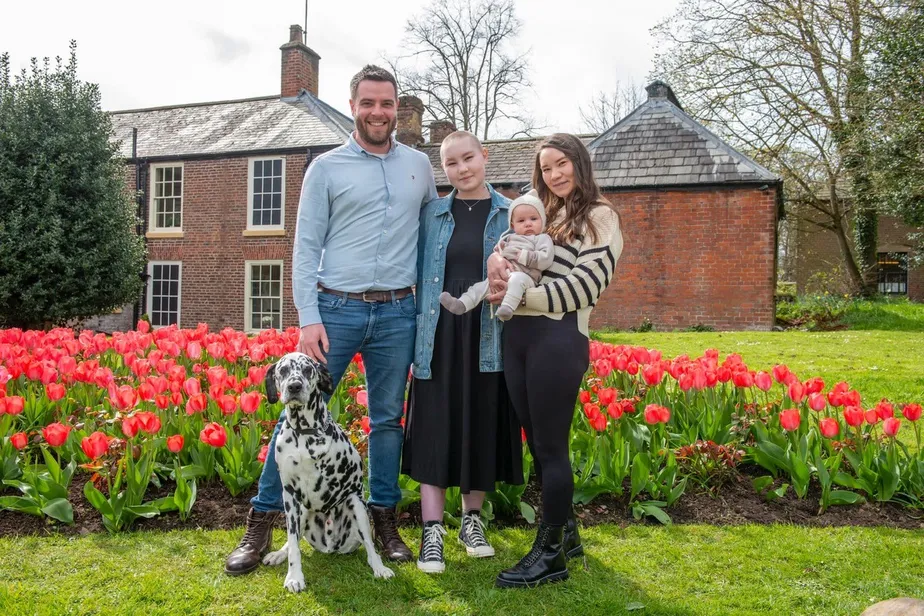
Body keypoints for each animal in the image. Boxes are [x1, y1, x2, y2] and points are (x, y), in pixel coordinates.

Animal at [260, 352, 394, 592]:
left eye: (308, 370)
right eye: (283, 370)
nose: (294, 386)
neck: (303, 432)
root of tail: (331, 546)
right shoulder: (290, 496)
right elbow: (293, 543)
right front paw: (294, 576)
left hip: (356, 505)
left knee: (370, 546)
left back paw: (379, 567)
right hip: (302, 512)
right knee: (293, 540)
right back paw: (278, 554)